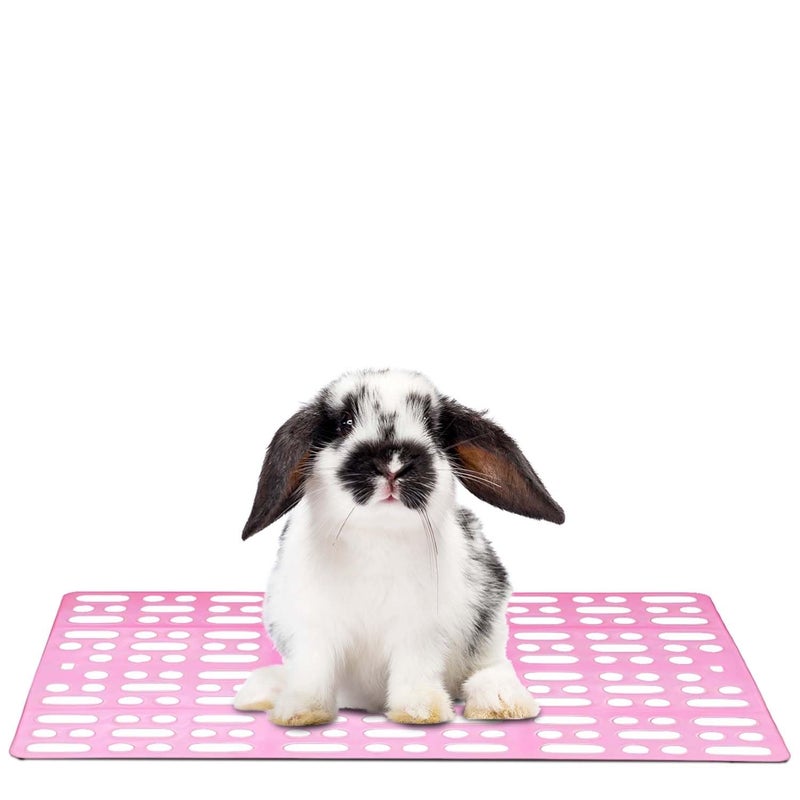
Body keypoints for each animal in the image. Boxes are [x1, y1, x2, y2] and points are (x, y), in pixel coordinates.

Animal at [233, 368, 564, 726]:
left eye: (433, 427)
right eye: (345, 422)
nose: (393, 464)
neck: (378, 536)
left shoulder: (421, 631)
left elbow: (414, 669)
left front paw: (419, 712)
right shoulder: (311, 628)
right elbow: (312, 671)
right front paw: (300, 712)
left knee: (491, 670)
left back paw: (502, 703)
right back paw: (258, 693)